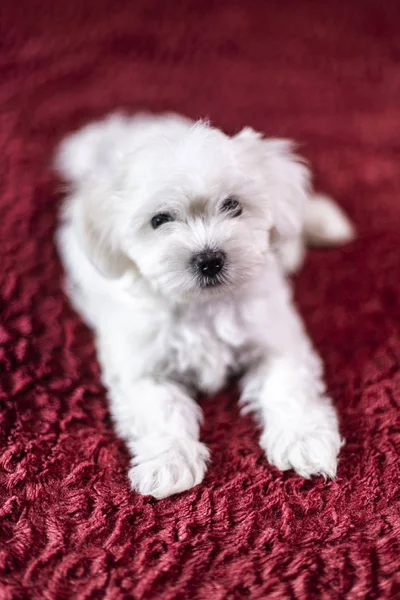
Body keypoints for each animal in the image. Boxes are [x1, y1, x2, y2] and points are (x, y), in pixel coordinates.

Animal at [54, 111, 354, 496]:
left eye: (232, 205)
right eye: (160, 220)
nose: (209, 259)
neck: (203, 306)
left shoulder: (277, 339)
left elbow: (287, 387)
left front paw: (304, 440)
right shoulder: (140, 369)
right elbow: (161, 409)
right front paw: (168, 463)